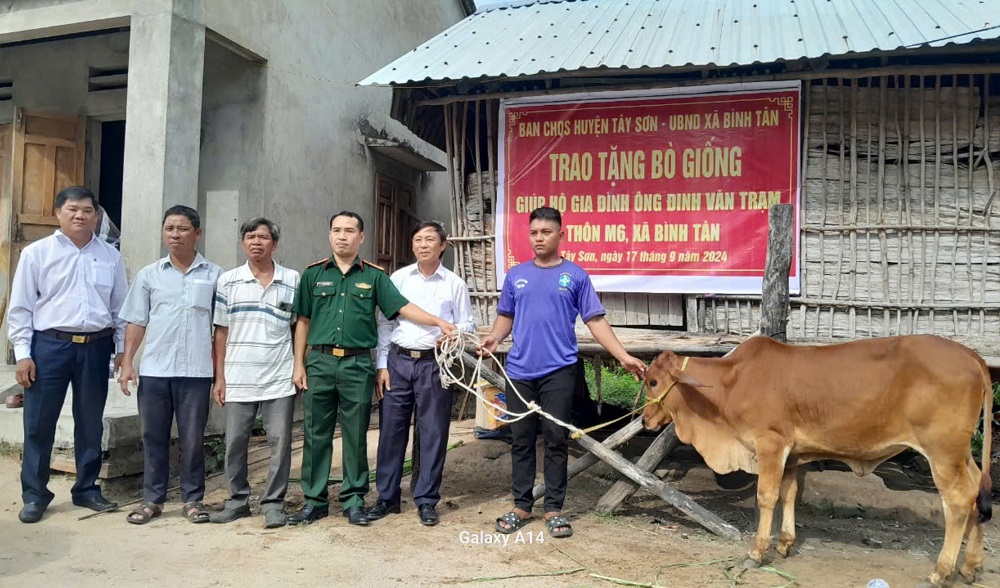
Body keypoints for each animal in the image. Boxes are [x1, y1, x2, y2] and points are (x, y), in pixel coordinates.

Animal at [640, 334, 992, 584]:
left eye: (653, 382)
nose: (645, 420)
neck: (730, 384)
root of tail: (972, 356)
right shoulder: (792, 454)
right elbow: (789, 493)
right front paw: (784, 543)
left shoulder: (770, 444)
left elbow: (767, 496)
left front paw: (756, 552)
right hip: (960, 455)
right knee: (977, 491)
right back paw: (970, 567)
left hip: (943, 452)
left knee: (958, 501)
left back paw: (941, 571)